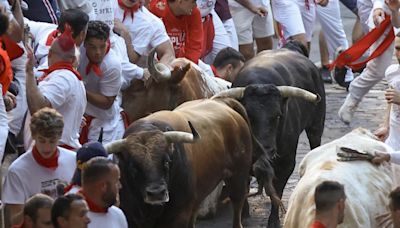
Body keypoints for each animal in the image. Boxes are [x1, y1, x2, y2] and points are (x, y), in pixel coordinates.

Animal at [106, 98, 256, 228]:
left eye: (166, 162)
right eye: (133, 168)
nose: (157, 193)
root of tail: (223, 103)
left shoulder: (178, 215)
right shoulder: (131, 217)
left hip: (238, 177)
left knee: (237, 204)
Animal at [216, 45, 324, 227]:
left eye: (278, 116)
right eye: (249, 115)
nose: (266, 149)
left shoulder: (286, 162)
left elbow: (278, 190)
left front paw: (273, 220)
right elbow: (242, 187)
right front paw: (244, 215)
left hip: (316, 126)